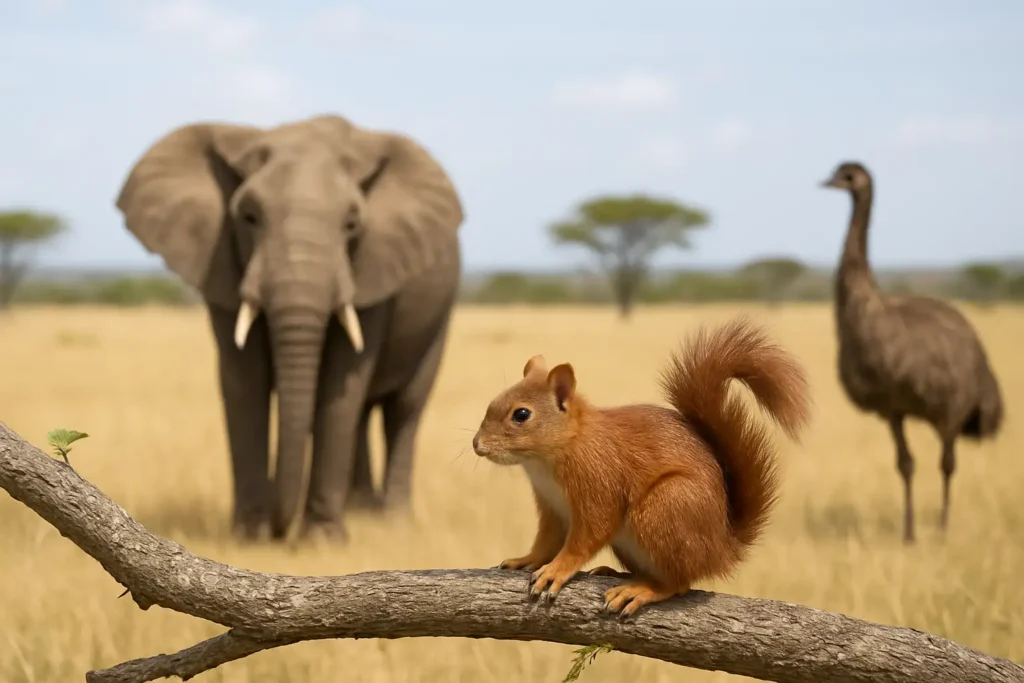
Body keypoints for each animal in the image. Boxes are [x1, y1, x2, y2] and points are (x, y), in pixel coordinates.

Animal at [114, 114, 464, 541]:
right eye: (249, 218)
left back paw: (393, 520)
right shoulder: (223, 265)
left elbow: (340, 384)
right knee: (363, 412)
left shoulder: (373, 267)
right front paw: (251, 538)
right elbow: (245, 380)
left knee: (404, 408)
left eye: (352, 225)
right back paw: (361, 511)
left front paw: (321, 542)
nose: (282, 531)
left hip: (440, 315)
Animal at [471, 315, 812, 617]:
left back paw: (641, 589)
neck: (547, 459)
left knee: (678, 583)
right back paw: (616, 574)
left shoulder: (598, 482)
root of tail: (721, 550)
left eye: (521, 415)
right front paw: (526, 559)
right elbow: (546, 540)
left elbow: (587, 536)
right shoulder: (552, 507)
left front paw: (556, 570)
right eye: (492, 402)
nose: (477, 445)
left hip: (666, 507)